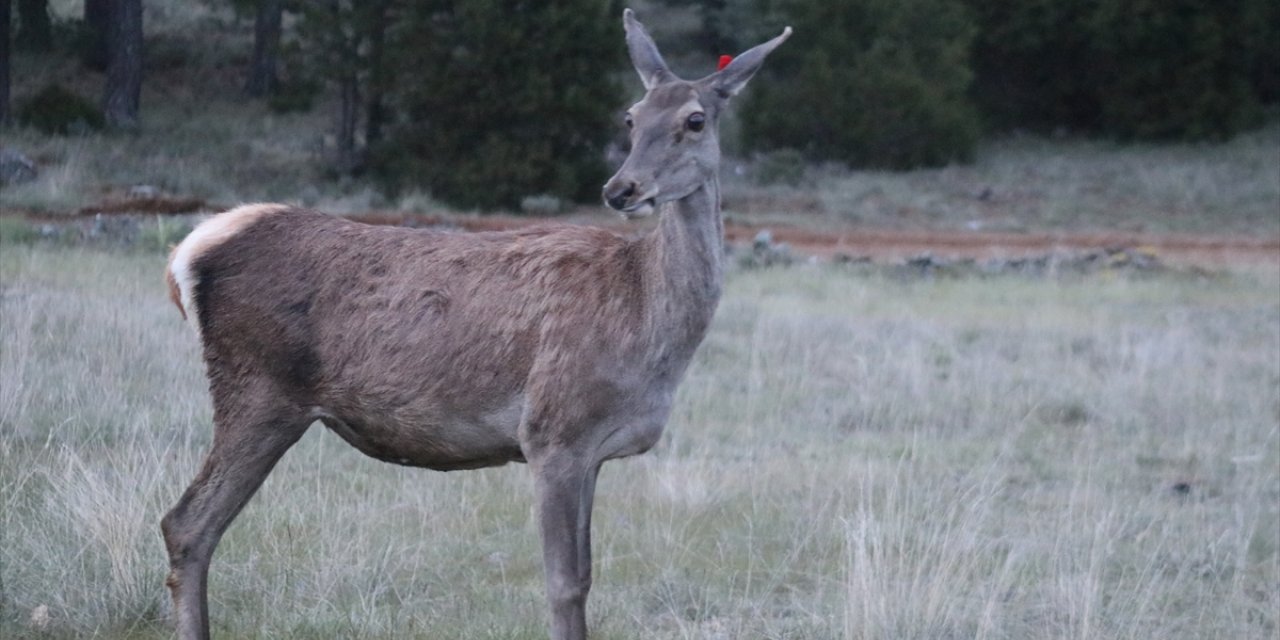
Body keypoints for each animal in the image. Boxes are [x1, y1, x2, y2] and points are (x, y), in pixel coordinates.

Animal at [160, 10, 788, 640]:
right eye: (631, 116)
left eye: (695, 119)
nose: (621, 188)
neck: (648, 326)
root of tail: (189, 252)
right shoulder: (552, 431)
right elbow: (565, 584)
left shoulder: (592, 451)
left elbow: (586, 575)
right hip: (260, 389)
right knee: (187, 523)